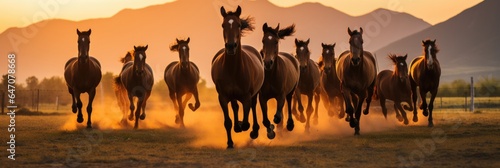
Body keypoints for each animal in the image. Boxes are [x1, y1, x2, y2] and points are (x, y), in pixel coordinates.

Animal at [211, 6, 266, 148]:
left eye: (239, 25)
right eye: (223, 25)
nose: (231, 46)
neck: (233, 70)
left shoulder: (246, 96)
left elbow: (246, 121)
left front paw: (244, 126)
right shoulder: (223, 97)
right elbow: (227, 121)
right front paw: (230, 143)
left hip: (254, 93)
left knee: (253, 107)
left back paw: (254, 130)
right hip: (232, 96)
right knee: (235, 107)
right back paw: (237, 126)